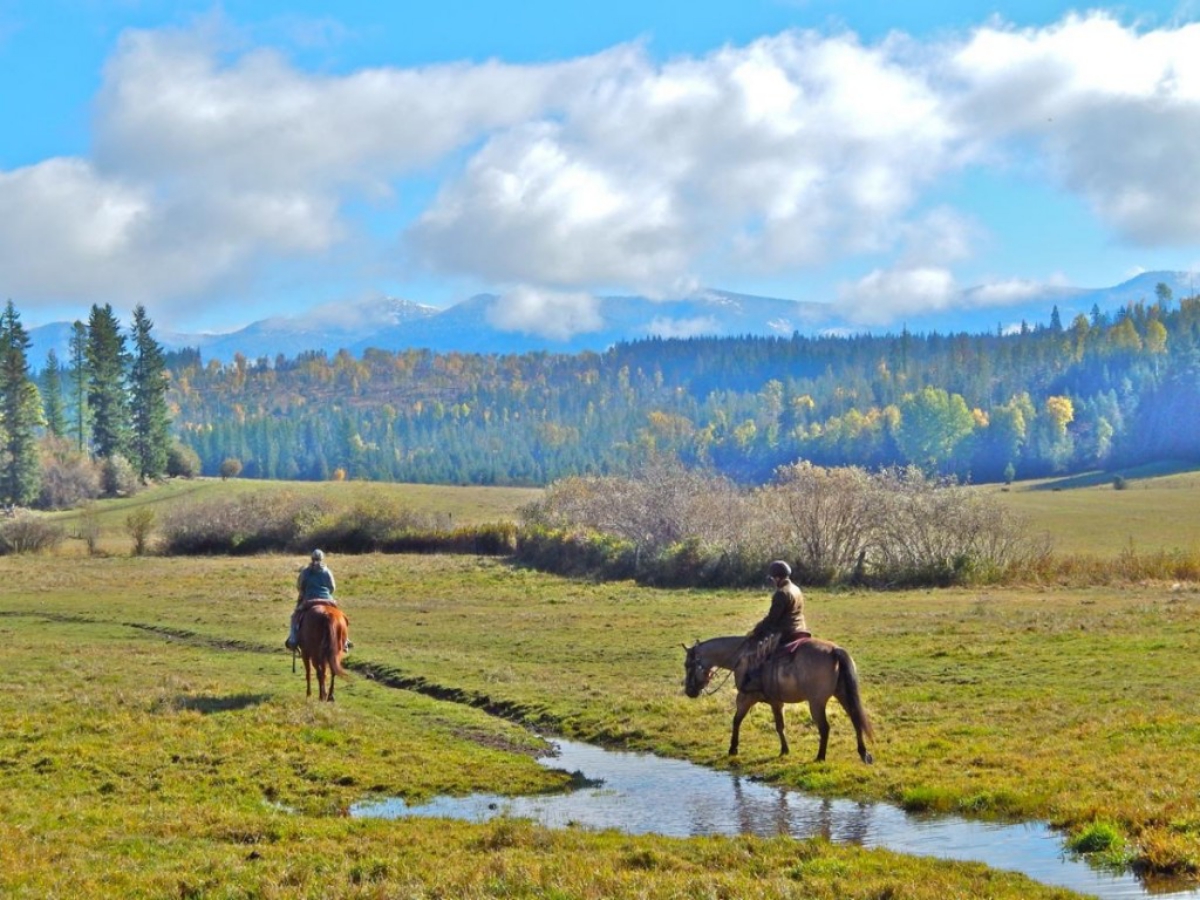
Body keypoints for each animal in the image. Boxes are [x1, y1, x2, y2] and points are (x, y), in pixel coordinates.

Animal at [686, 638, 873, 763]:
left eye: (687, 665)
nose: (689, 691)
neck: (742, 659)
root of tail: (835, 651)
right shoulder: (777, 702)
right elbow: (780, 726)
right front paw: (784, 750)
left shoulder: (746, 698)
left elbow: (737, 721)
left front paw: (733, 748)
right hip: (843, 695)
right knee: (856, 720)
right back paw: (863, 753)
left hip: (816, 703)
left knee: (825, 728)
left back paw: (820, 757)